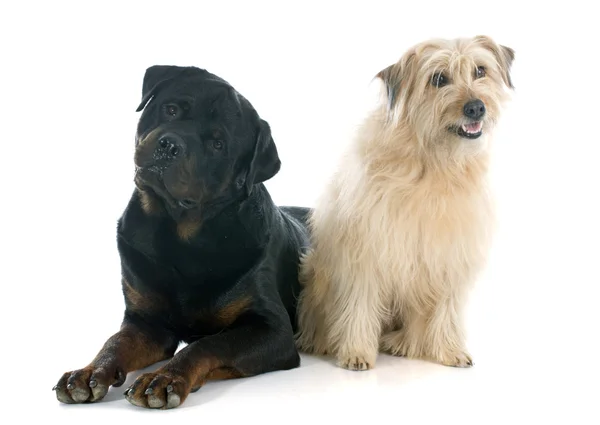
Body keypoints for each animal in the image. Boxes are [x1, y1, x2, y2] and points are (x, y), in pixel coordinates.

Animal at [52, 63, 310, 408]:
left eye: (217, 144)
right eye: (171, 109)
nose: (170, 144)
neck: (179, 238)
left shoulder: (272, 330)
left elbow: (210, 344)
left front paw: (164, 377)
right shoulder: (147, 323)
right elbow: (116, 341)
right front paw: (89, 372)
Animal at [296, 34, 516, 370]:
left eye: (480, 71)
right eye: (439, 79)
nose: (476, 107)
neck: (436, 162)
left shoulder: (451, 252)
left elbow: (447, 307)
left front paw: (449, 350)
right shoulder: (366, 250)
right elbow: (359, 303)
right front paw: (356, 351)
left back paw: (401, 343)